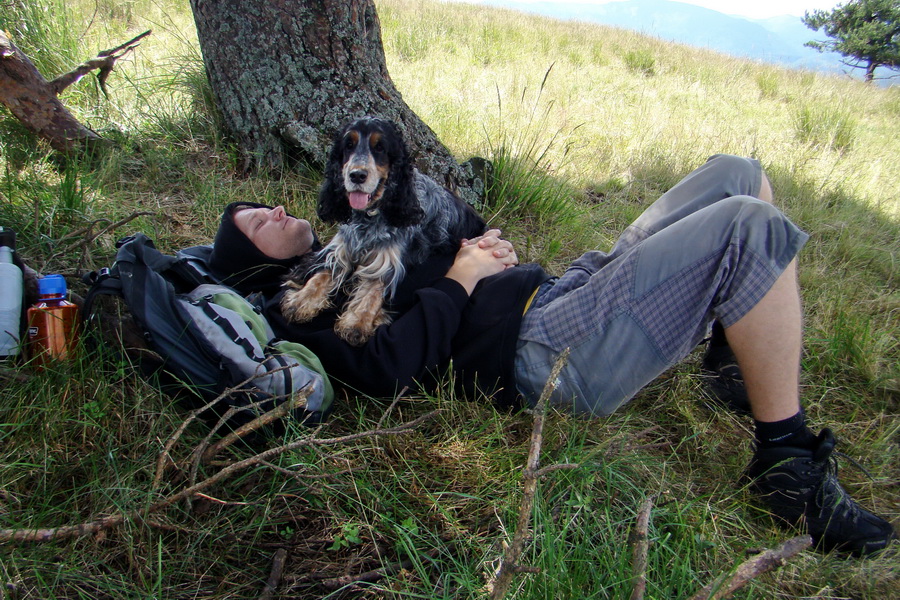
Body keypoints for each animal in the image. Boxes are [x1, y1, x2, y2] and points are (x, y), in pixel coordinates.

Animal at [284, 116, 488, 346]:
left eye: (380, 147)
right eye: (348, 145)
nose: (357, 175)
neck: (369, 217)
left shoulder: (386, 261)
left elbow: (372, 291)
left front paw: (357, 324)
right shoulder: (339, 249)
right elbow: (321, 274)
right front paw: (301, 301)